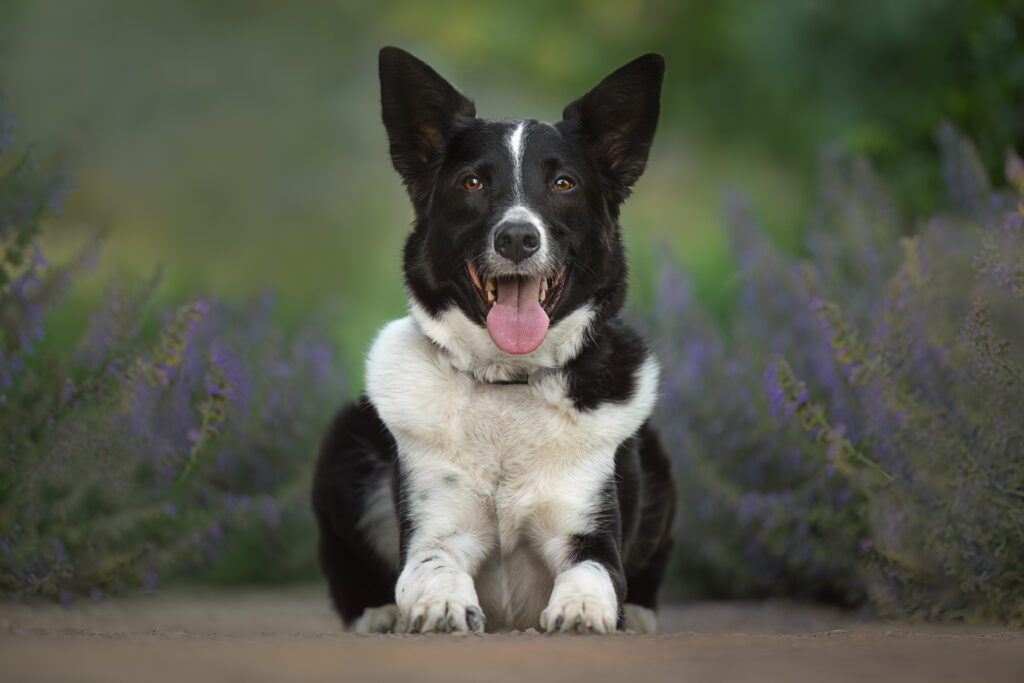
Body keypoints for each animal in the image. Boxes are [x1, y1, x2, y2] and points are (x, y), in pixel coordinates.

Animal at [311, 46, 679, 634]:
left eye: (563, 184)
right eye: (472, 184)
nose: (517, 238)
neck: (510, 383)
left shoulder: (589, 532)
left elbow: (594, 571)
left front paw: (582, 607)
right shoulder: (435, 529)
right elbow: (431, 565)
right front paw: (439, 603)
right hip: (344, 443)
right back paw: (380, 613)